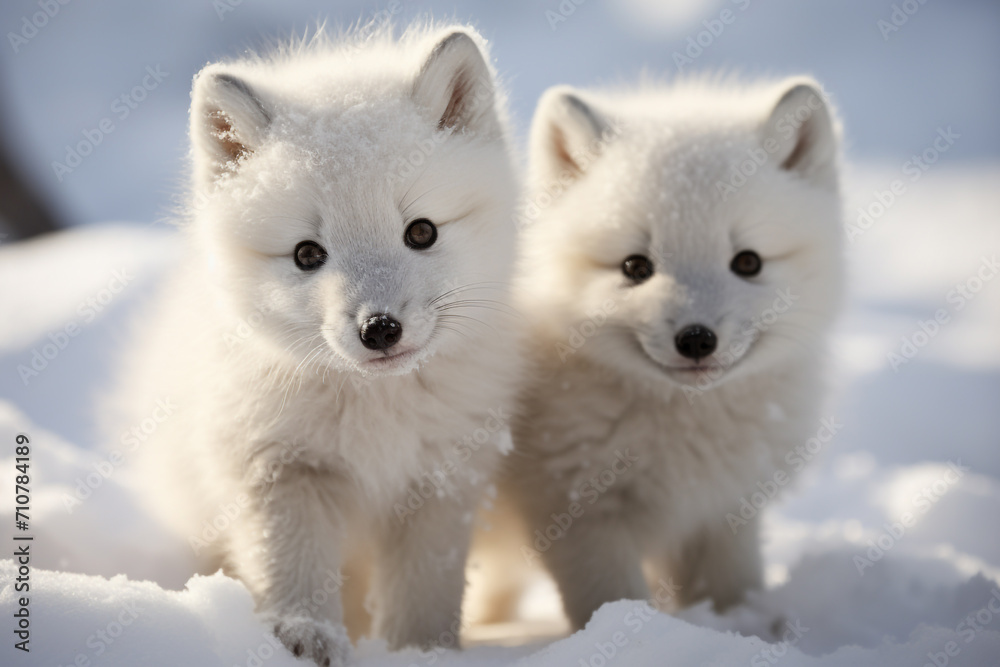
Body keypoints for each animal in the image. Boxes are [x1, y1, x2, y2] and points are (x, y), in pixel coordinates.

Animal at [112, 23, 521, 666]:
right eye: (308, 254)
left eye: (421, 231)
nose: (380, 329)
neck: (377, 413)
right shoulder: (279, 469)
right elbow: (292, 573)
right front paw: (305, 639)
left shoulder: (441, 481)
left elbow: (425, 593)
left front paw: (419, 654)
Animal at [485, 76, 844, 631]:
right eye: (636, 266)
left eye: (748, 262)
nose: (696, 339)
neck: (685, 434)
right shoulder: (581, 515)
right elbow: (611, 599)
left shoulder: (723, 513)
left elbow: (731, 588)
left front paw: (742, 629)